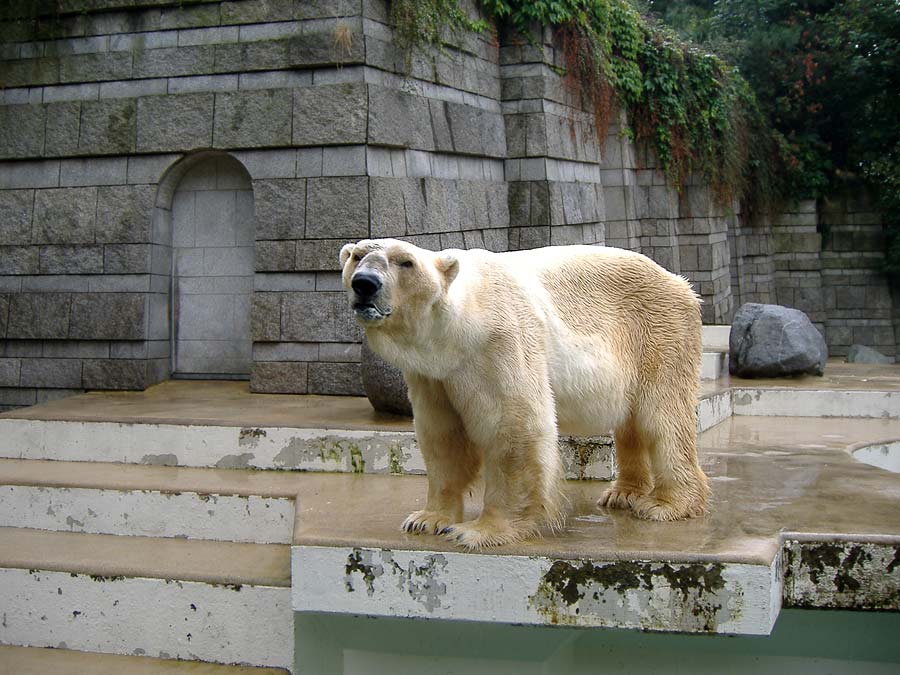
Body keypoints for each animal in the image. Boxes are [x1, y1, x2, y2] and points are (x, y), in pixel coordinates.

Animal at [342, 238, 708, 548]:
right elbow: (442, 437)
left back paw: (667, 504)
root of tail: (681, 284)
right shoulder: (434, 375)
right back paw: (623, 494)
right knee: (631, 423)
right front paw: (427, 519)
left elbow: (514, 426)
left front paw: (481, 531)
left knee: (662, 419)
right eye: (357, 256)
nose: (365, 283)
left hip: (658, 334)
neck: (459, 327)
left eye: (405, 262)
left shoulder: (499, 343)